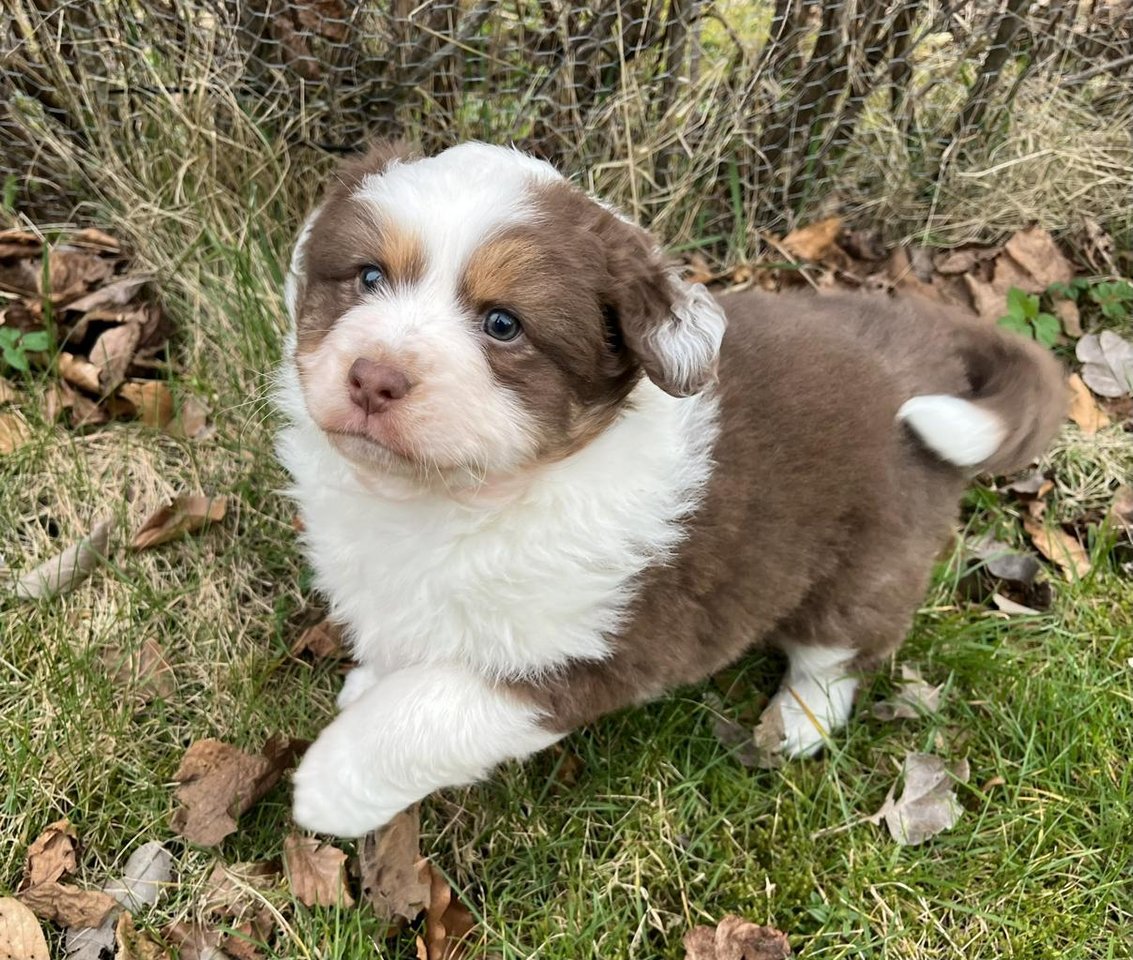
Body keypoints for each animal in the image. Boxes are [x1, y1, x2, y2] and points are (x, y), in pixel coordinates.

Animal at [276, 138, 1069, 838]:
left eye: (503, 324)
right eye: (368, 277)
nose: (373, 378)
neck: (452, 499)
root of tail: (925, 345)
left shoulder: (578, 650)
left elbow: (425, 714)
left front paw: (327, 786)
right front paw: (366, 686)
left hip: (873, 555)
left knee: (841, 649)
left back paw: (800, 720)